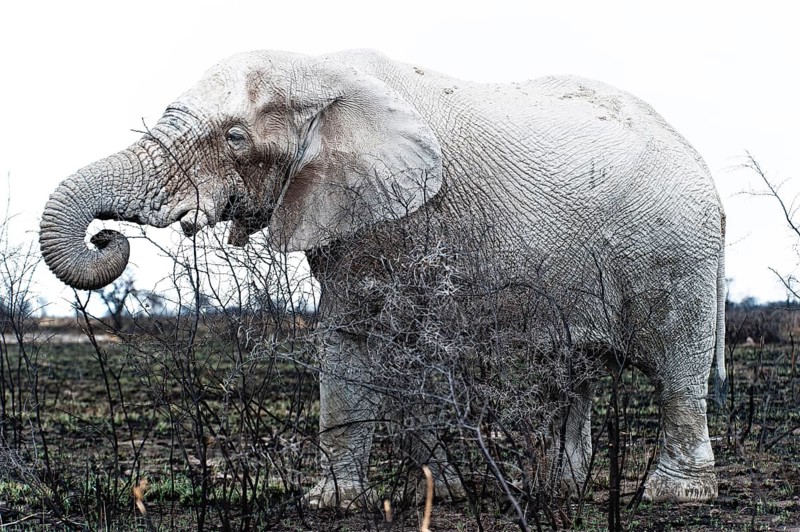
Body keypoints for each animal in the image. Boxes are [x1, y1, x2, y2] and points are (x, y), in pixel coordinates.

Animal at [40, 49, 726, 508]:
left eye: (235, 137)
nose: (106, 238)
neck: (320, 73)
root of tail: (701, 165)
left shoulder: (399, 218)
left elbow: (365, 342)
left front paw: (338, 504)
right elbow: (376, 346)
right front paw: (427, 492)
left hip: (677, 251)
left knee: (677, 368)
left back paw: (674, 498)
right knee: (573, 368)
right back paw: (558, 490)